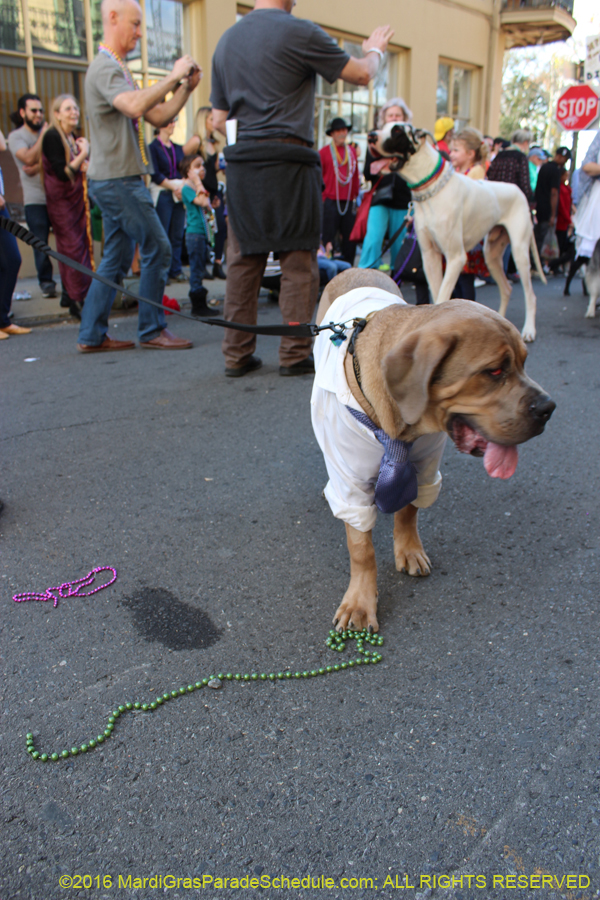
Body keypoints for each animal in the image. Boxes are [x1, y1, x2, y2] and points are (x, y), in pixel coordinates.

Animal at [312, 268, 556, 632]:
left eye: (524, 362)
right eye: (494, 371)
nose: (548, 408)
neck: (398, 427)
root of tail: (358, 268)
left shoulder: (425, 467)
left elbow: (409, 511)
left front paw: (409, 550)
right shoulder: (351, 483)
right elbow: (361, 549)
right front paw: (360, 602)